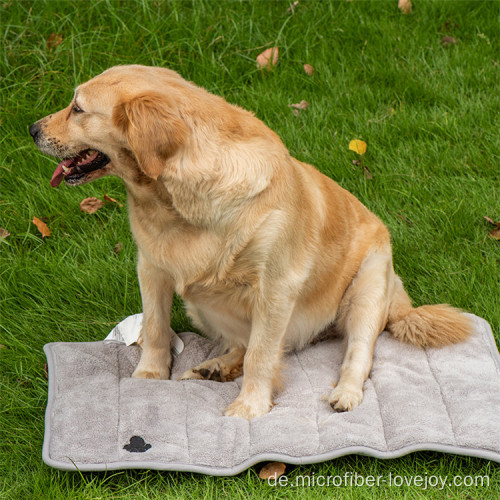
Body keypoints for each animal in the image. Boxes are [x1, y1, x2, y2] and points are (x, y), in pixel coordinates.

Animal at [29, 64, 470, 420]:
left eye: (77, 108)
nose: (31, 129)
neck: (176, 200)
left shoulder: (276, 286)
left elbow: (262, 353)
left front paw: (250, 407)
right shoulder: (151, 266)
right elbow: (155, 327)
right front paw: (149, 376)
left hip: (368, 287)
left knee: (355, 355)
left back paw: (344, 393)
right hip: (202, 304)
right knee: (250, 344)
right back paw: (215, 366)